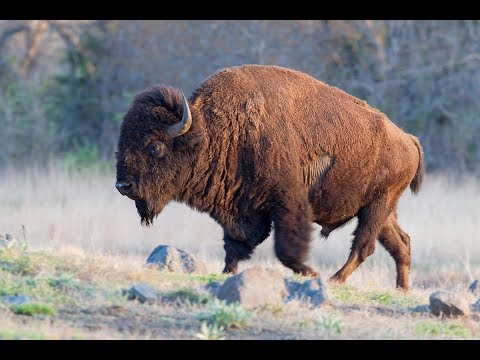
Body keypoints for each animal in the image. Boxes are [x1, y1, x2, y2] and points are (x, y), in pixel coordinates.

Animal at [116, 64, 424, 290]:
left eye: (155, 146)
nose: (122, 184)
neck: (212, 132)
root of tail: (408, 139)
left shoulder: (287, 204)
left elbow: (286, 248)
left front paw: (310, 273)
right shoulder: (240, 208)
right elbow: (235, 244)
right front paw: (226, 272)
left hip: (378, 205)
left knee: (364, 245)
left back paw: (336, 279)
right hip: (380, 210)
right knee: (401, 243)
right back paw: (402, 289)